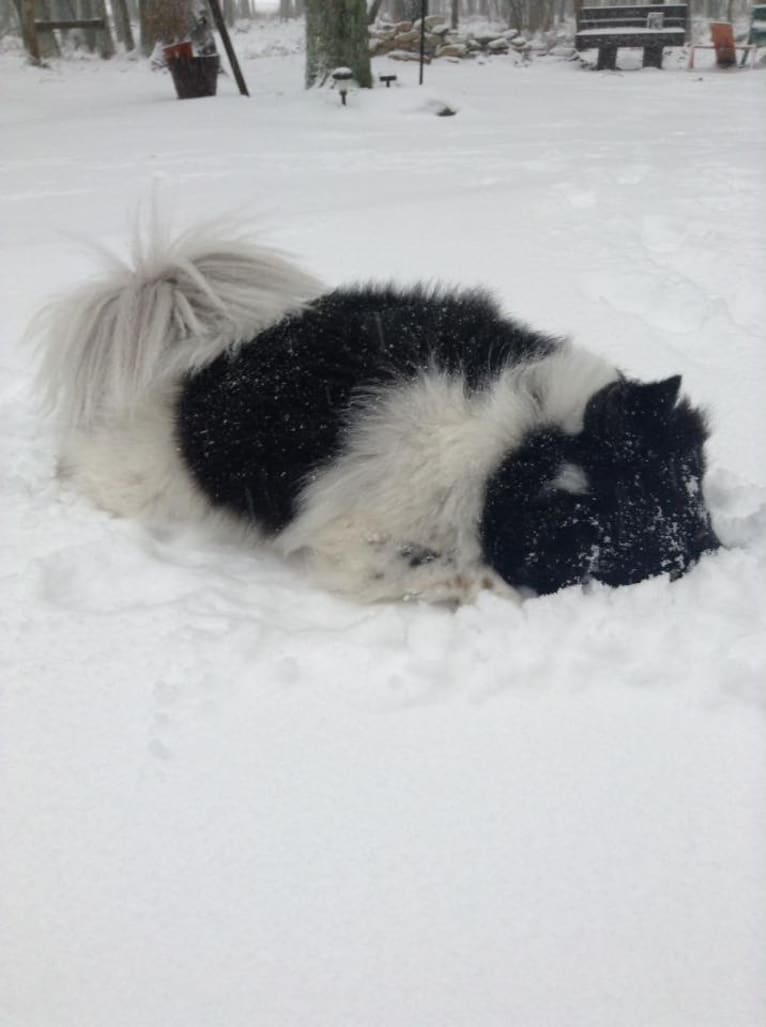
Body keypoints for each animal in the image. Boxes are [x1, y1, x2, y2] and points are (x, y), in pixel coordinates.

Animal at [32, 223, 718, 599]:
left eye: (689, 486)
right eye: (610, 525)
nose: (702, 555)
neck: (521, 443)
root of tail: (188, 346)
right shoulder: (355, 540)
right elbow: (419, 570)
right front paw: (492, 591)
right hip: (140, 478)